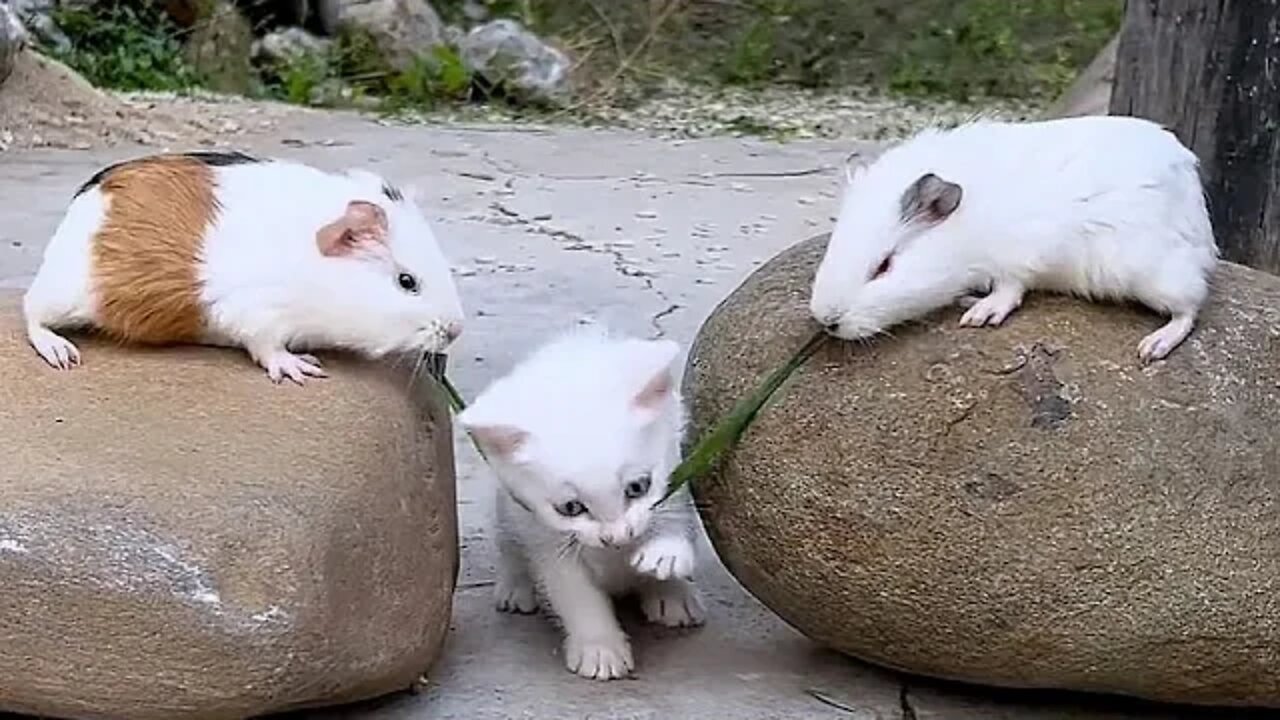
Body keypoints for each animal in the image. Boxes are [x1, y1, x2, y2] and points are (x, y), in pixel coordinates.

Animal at [458, 325, 706, 676]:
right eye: (571, 508)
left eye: (638, 487)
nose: (617, 537)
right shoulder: (544, 536)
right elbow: (576, 595)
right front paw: (599, 647)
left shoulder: (678, 469)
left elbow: (672, 511)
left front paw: (666, 553)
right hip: (505, 511)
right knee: (508, 544)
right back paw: (516, 585)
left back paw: (672, 596)